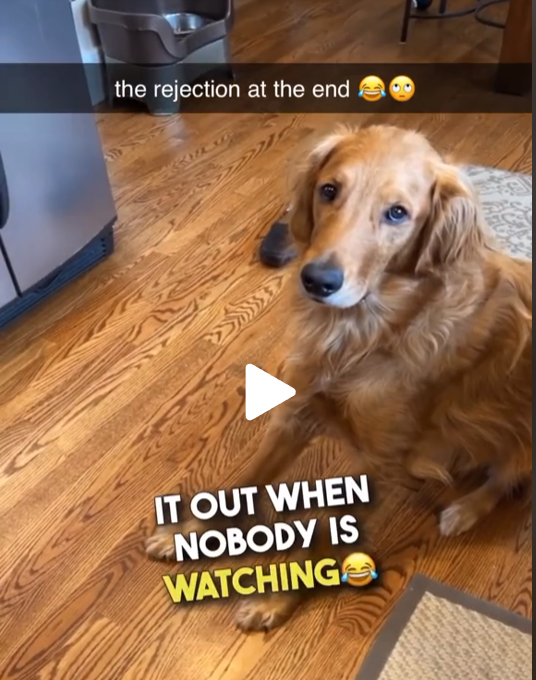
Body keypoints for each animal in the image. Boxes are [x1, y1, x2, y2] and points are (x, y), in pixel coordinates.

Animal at [146, 125, 532, 631]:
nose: (318, 280)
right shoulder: (296, 409)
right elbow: (246, 479)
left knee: (508, 481)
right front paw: (194, 533)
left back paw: (464, 511)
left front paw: (275, 603)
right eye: (329, 190)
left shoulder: (378, 461)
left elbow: (327, 536)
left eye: (397, 213)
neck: (367, 330)